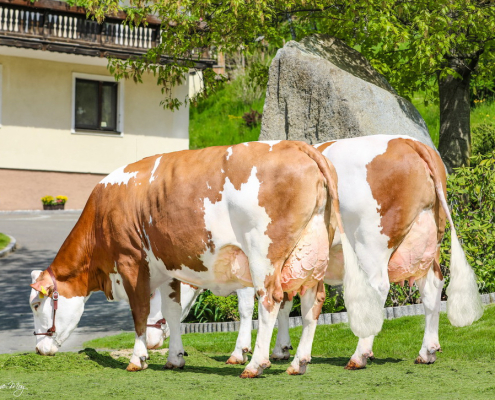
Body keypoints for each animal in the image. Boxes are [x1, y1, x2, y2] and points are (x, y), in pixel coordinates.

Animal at [29, 141, 364, 378]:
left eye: (35, 304)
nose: (38, 348)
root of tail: (296, 144)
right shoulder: (167, 268)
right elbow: (172, 313)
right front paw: (174, 357)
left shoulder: (130, 263)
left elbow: (139, 314)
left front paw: (138, 358)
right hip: (311, 256)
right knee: (311, 305)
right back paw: (298, 362)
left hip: (263, 254)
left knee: (270, 300)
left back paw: (255, 364)